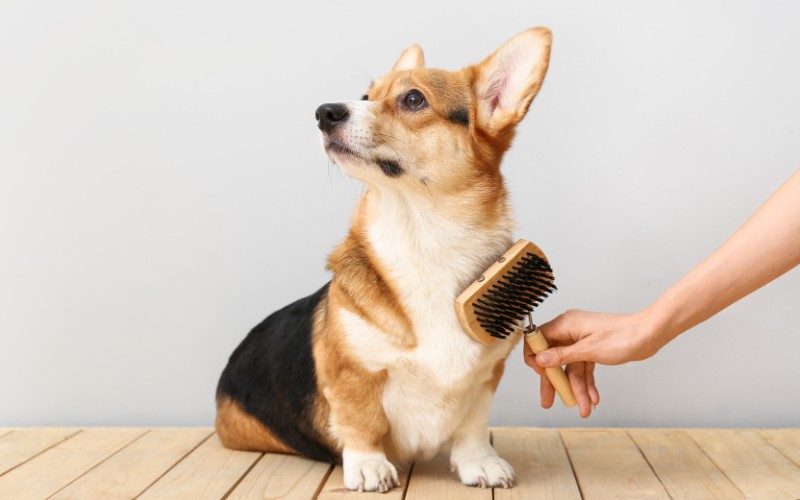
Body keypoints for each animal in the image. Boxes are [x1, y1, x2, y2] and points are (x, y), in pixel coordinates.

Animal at [216, 27, 552, 492]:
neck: (423, 240)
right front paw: (369, 466)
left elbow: (471, 427)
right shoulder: (352, 373)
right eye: (365, 95)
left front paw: (480, 463)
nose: (324, 112)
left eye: (413, 99)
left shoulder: (486, 377)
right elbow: (362, 422)